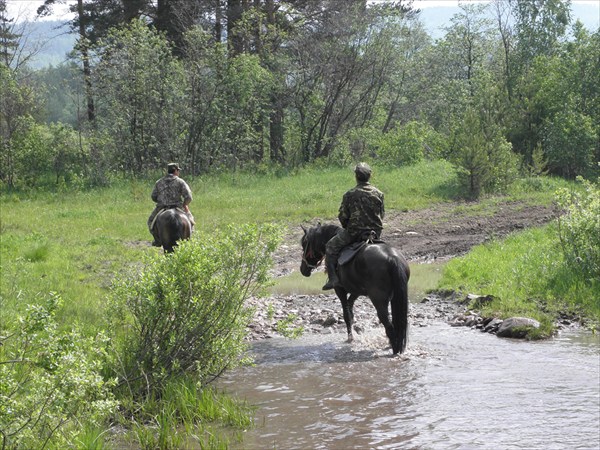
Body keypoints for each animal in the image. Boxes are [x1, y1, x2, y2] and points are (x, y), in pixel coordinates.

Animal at [298, 223, 410, 354]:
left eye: (304, 244)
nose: (303, 270)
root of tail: (392, 257)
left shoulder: (340, 290)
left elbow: (346, 314)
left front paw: (350, 338)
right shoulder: (356, 291)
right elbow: (350, 309)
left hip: (378, 300)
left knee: (388, 324)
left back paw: (394, 349)